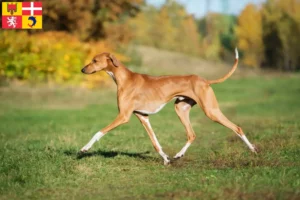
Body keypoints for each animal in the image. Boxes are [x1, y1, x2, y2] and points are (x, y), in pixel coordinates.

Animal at [80, 49, 258, 165]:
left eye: (95, 61)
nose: (82, 69)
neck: (124, 78)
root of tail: (205, 80)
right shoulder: (143, 117)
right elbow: (155, 142)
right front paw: (165, 158)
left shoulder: (123, 116)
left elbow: (98, 132)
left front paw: (85, 148)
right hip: (181, 109)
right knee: (191, 134)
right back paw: (178, 155)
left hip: (211, 111)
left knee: (237, 127)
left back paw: (253, 149)